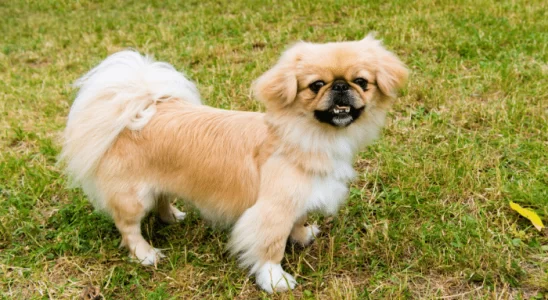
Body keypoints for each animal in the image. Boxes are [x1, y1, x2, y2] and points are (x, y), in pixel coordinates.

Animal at [62, 34, 408, 292]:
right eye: (315, 85)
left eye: (361, 81)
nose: (340, 85)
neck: (307, 136)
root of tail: (139, 109)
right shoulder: (272, 209)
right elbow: (271, 246)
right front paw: (276, 280)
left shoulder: (299, 197)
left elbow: (296, 221)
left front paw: (301, 235)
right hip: (133, 197)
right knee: (128, 227)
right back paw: (146, 254)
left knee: (162, 199)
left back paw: (172, 217)